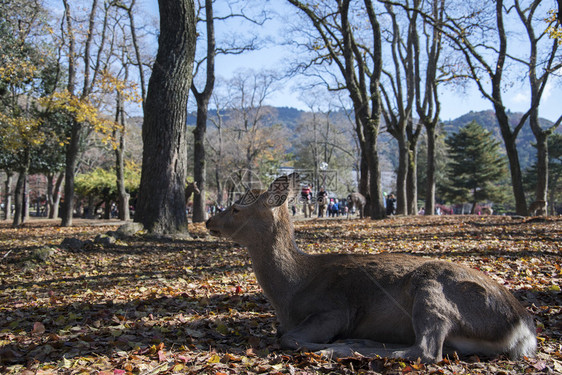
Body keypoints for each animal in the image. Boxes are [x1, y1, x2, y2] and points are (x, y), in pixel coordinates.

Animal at [205, 175, 532, 362]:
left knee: (427, 351)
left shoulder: (335, 309)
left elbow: (289, 338)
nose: (209, 221)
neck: (291, 291)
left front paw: (321, 344)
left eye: (236, 208)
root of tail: (522, 327)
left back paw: (340, 348)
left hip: (432, 289)